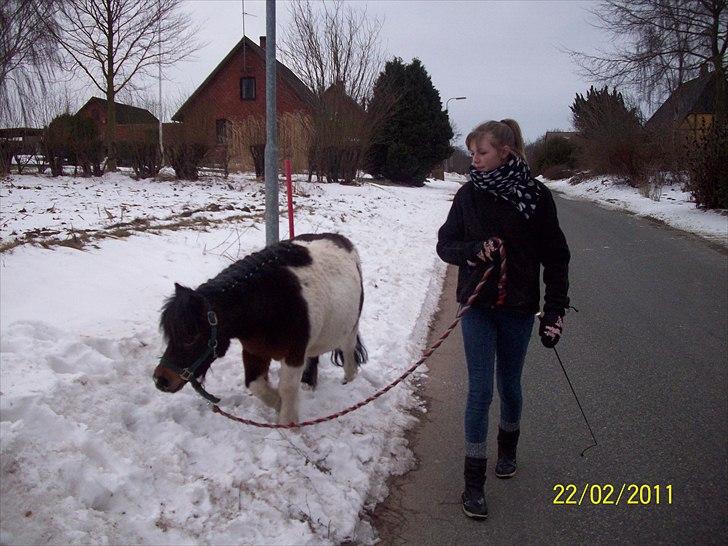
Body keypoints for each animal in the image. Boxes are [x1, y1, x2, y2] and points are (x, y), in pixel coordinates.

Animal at [154, 232, 370, 422]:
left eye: (191, 336)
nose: (161, 380)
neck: (267, 304)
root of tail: (342, 240)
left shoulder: (293, 356)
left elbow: (286, 389)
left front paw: (289, 425)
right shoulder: (255, 351)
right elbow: (255, 385)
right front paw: (278, 405)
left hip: (349, 331)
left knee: (349, 358)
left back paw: (349, 383)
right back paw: (308, 384)